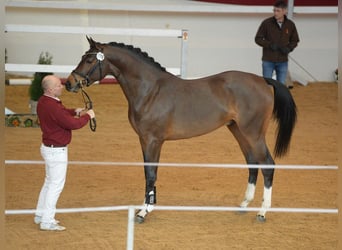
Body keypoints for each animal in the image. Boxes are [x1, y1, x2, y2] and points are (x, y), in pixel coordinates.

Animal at [65, 36, 296, 223]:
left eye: (89, 60)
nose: (69, 83)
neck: (150, 90)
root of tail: (263, 80)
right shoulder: (145, 140)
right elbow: (149, 172)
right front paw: (148, 205)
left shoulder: (153, 140)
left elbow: (151, 174)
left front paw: (143, 212)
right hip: (239, 131)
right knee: (252, 163)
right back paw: (244, 204)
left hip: (253, 134)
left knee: (267, 165)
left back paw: (262, 212)